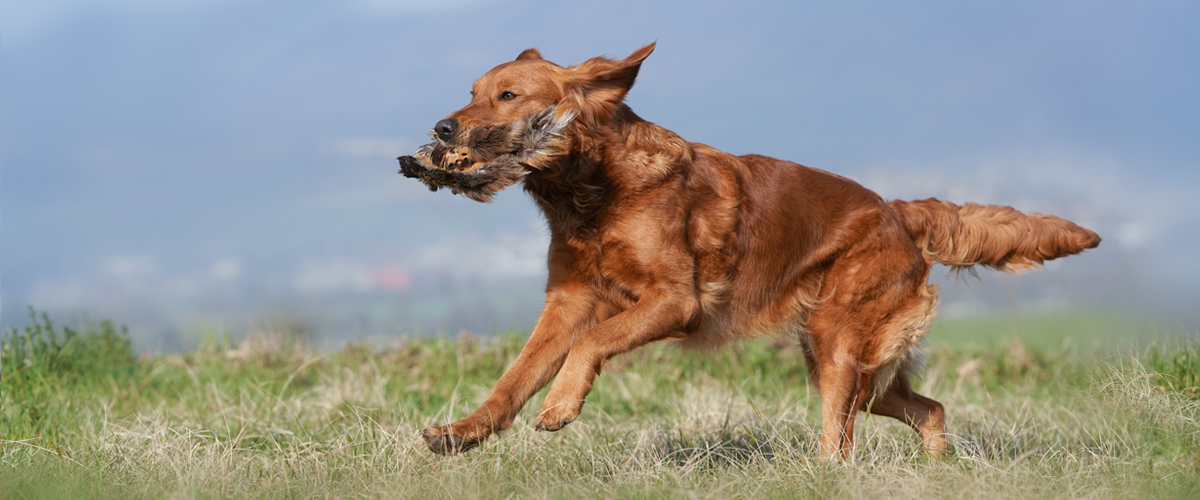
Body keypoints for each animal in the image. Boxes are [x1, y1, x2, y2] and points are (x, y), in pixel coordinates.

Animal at [408, 42, 1099, 455]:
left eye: (508, 95)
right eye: (471, 90)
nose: (441, 130)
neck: (593, 192)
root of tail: (896, 211)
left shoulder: (676, 301)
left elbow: (592, 343)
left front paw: (558, 407)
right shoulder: (568, 300)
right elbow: (514, 376)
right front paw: (464, 433)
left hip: (837, 342)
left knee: (840, 441)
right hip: (864, 364)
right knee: (928, 409)